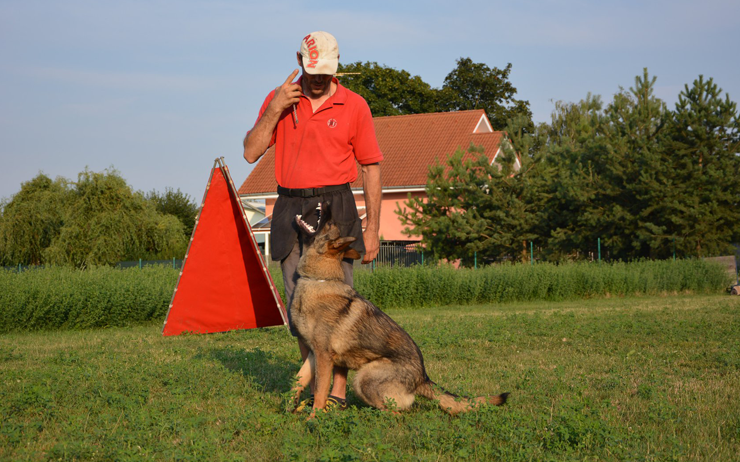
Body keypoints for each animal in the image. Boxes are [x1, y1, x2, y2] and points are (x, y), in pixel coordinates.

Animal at [288, 201, 508, 415]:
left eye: (329, 223)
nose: (327, 203)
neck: (317, 280)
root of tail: (423, 378)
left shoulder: (324, 357)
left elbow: (320, 392)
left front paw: (314, 418)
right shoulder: (313, 354)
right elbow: (298, 381)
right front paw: (290, 407)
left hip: (363, 379)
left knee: (397, 412)